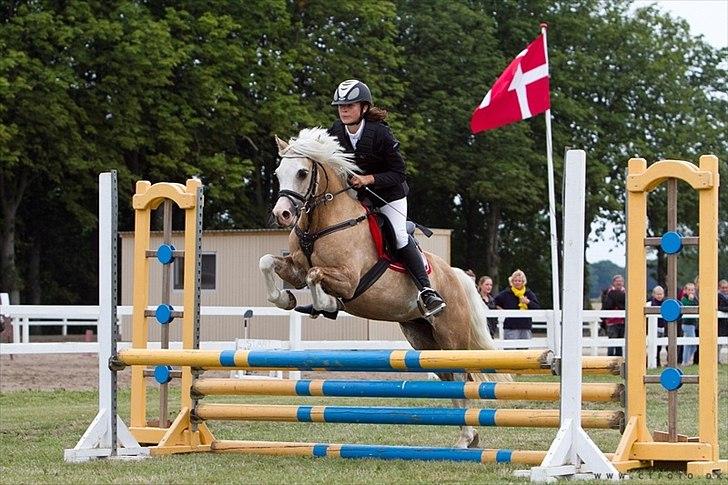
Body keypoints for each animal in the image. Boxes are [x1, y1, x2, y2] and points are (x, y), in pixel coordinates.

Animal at [258, 126, 504, 448]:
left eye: (302, 172)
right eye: (277, 173)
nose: (282, 215)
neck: (321, 223)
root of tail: (455, 275)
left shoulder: (348, 279)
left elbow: (315, 275)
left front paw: (326, 305)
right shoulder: (295, 271)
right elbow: (268, 262)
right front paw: (285, 298)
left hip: (451, 336)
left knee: (463, 379)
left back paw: (467, 438)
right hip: (423, 339)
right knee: (451, 379)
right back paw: (468, 437)